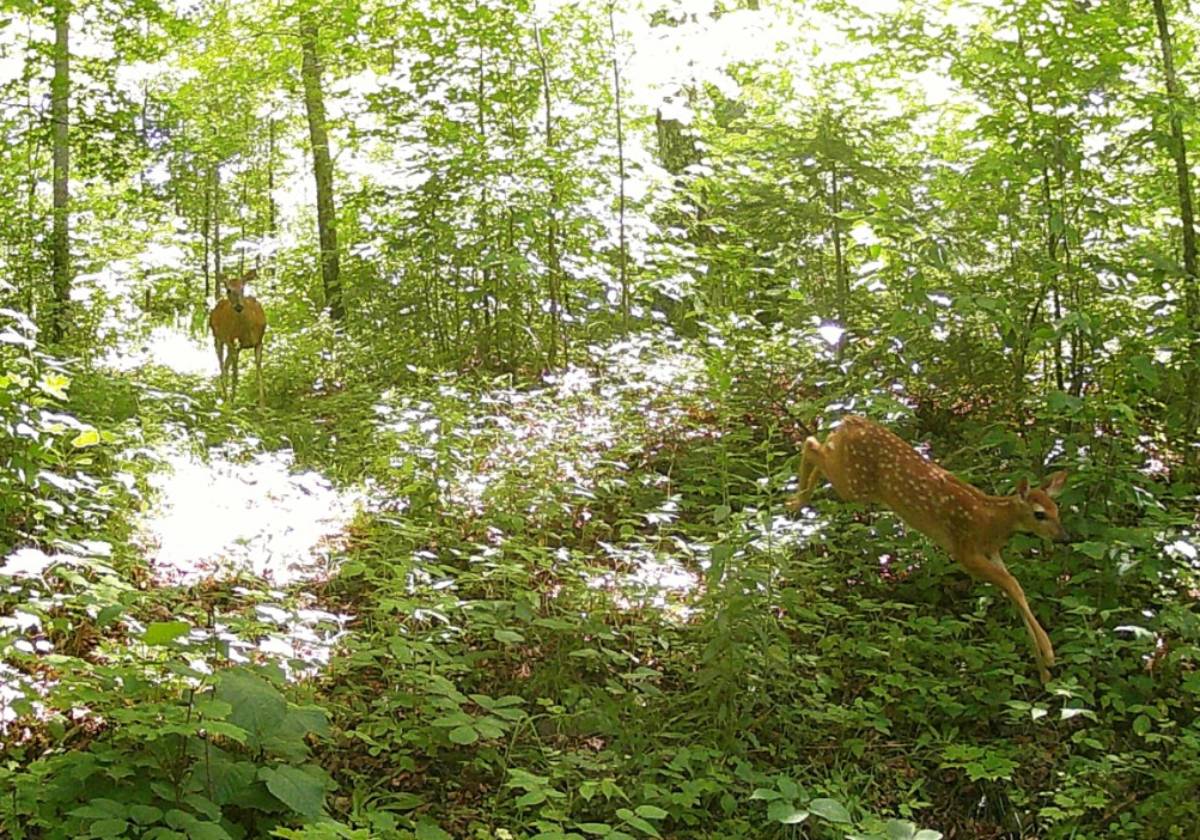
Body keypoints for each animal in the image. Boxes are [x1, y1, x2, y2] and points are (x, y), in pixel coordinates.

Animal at [211, 268, 267, 408]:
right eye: (228, 290)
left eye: (243, 288)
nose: (238, 306)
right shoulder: (232, 341)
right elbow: (235, 375)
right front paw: (233, 403)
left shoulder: (259, 342)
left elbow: (259, 372)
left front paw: (262, 406)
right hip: (218, 337)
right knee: (222, 366)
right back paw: (225, 398)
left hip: (233, 346)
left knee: (226, 365)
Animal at [792, 417, 1065, 686]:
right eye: (1039, 514)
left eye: (1057, 510)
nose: (1065, 537)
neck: (992, 521)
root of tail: (851, 420)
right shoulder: (965, 551)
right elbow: (1014, 585)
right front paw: (1049, 654)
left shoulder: (991, 552)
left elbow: (1015, 592)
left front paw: (1043, 672)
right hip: (855, 485)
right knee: (811, 445)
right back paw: (796, 500)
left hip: (850, 475)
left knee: (819, 444)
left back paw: (796, 501)